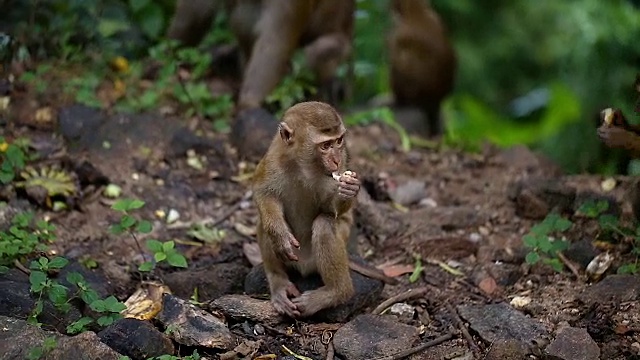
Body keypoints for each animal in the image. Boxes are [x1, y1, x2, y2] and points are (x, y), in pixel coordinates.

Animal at [251, 101, 392, 318]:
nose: (335, 160)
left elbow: (332, 210)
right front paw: (279, 234)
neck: (303, 166)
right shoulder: (273, 158)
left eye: (339, 141)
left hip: (315, 258)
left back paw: (335, 293)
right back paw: (279, 282)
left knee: (324, 225)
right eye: (325, 146)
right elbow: (263, 192)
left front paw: (349, 190)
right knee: (263, 223)